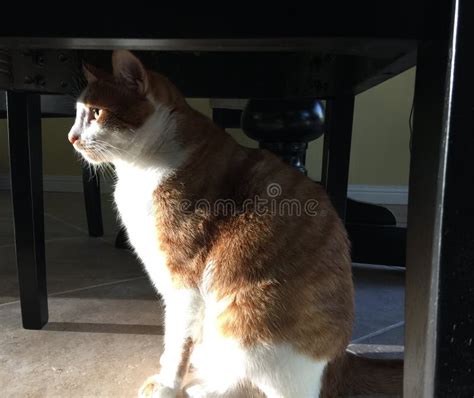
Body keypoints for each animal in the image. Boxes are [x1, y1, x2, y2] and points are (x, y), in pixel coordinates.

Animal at [68, 50, 402, 398]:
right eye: (77, 114)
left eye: (96, 113)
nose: (71, 137)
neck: (138, 170)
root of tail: (338, 361)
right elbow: (173, 336)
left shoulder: (185, 282)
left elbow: (178, 340)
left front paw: (168, 383)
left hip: (247, 320)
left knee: (249, 386)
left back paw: (198, 388)